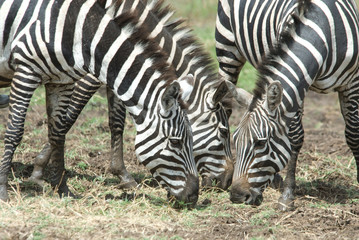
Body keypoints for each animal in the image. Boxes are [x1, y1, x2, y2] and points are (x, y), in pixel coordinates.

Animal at [0, 0, 200, 206]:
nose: (194, 196)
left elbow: (58, 133)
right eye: (175, 142)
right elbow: (15, 131)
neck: (82, 33)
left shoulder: (62, 81)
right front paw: (4, 190)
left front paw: (61, 188)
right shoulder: (27, 71)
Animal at [29, 0, 235, 191]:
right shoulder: (94, 73)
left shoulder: (122, 73)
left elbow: (117, 122)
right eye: (224, 131)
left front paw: (122, 175)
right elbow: (68, 117)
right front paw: (38, 170)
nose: (227, 182)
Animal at [217, 0, 359, 210]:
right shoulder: (296, 88)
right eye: (236, 140)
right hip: (226, 47)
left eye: (260, 143)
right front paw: (288, 195)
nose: (237, 196)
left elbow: (353, 134)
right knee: (224, 108)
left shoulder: (352, 82)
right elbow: (295, 137)